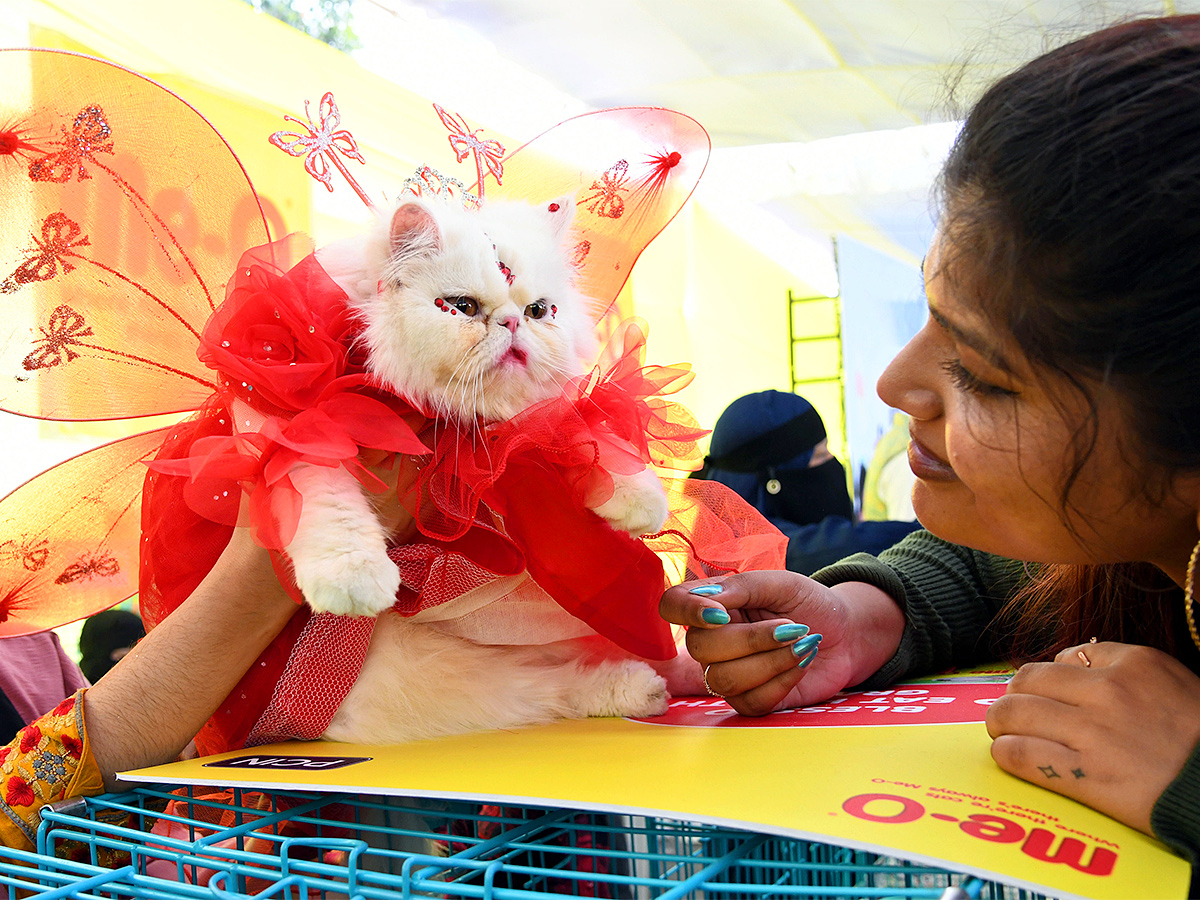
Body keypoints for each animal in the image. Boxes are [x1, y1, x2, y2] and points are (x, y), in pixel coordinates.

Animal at [253, 194, 691, 744]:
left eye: (538, 311)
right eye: (462, 307)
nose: (512, 323)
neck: (452, 425)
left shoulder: (515, 437)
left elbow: (575, 433)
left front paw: (641, 499)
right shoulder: (297, 427)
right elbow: (328, 500)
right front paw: (357, 578)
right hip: (439, 680)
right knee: (548, 691)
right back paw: (641, 687)